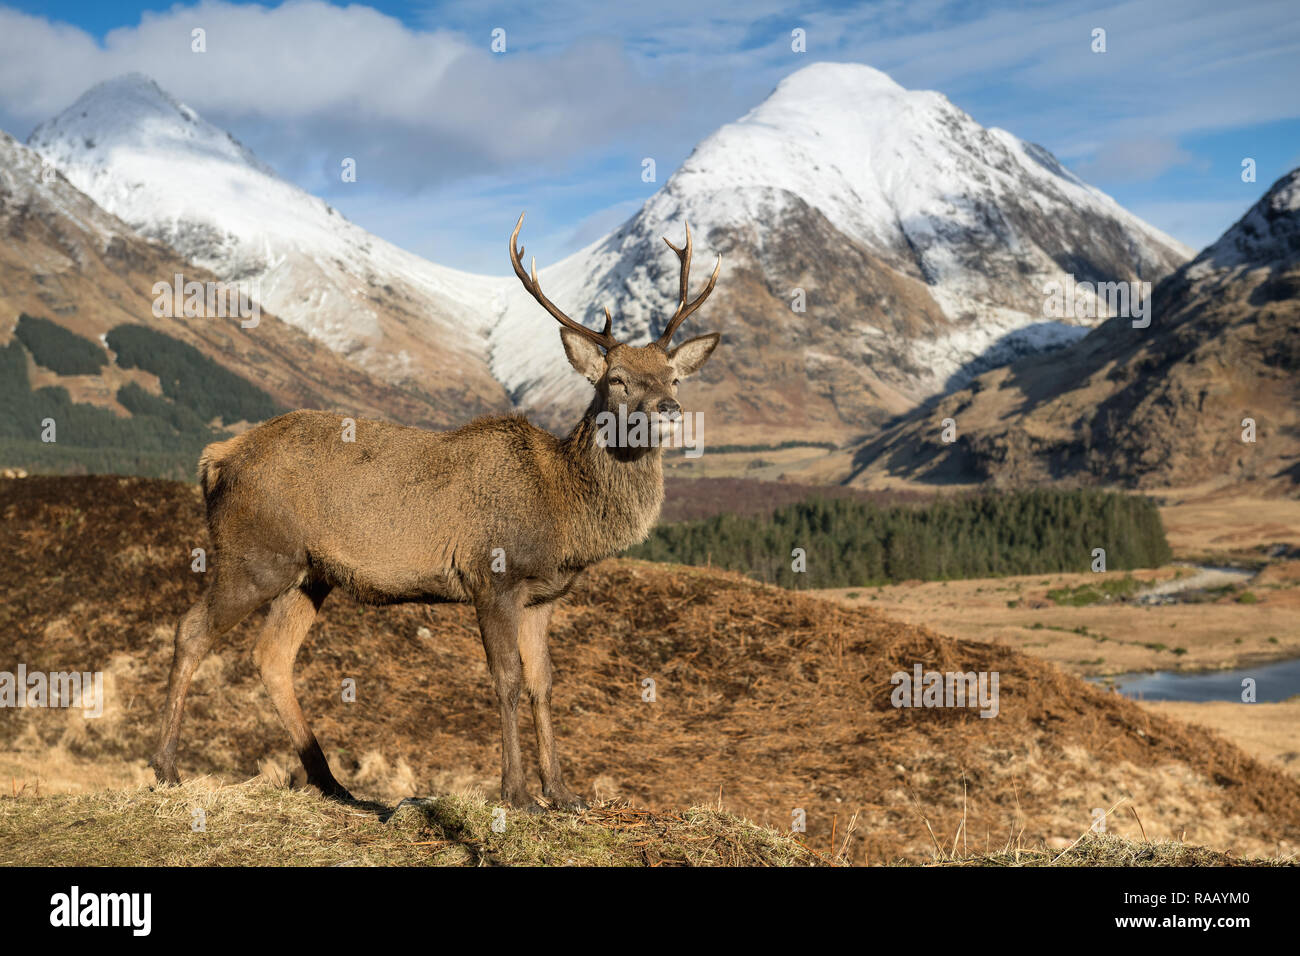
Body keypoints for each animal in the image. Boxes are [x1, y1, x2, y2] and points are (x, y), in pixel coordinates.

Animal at [149, 213, 721, 811]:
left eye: (673, 376)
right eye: (617, 380)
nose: (670, 409)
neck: (564, 513)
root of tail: (215, 459)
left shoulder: (544, 597)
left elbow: (543, 683)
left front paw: (563, 793)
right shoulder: (493, 577)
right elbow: (505, 680)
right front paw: (515, 793)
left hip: (309, 574)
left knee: (272, 657)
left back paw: (333, 784)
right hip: (254, 554)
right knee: (191, 630)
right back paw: (166, 768)